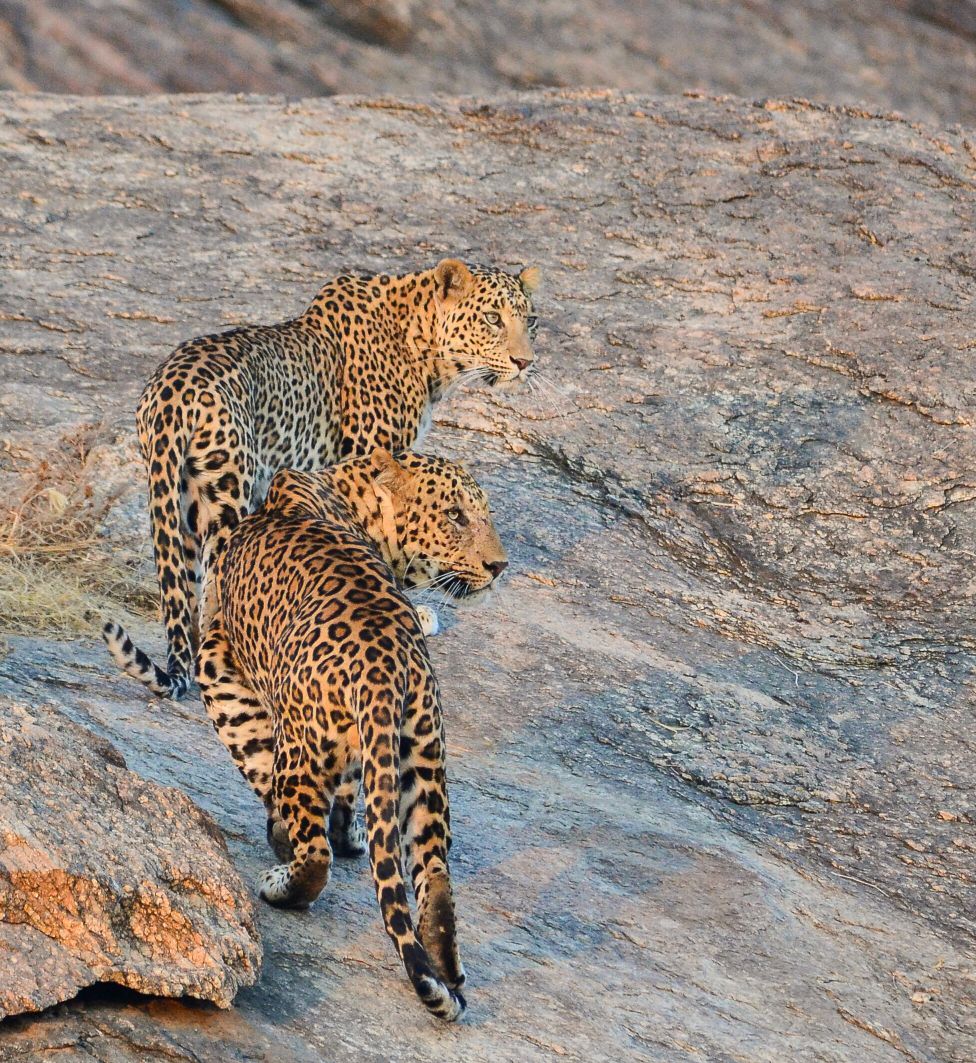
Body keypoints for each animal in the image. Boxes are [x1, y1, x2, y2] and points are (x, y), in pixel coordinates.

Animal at [103, 258, 539, 700]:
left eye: (531, 321)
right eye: (492, 318)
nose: (525, 363)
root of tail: (172, 392)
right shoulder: (371, 451)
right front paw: (414, 611)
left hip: (182, 495)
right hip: (228, 487)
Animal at [196, 448, 508, 1021]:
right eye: (456, 516)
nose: (500, 567)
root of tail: (383, 663)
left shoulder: (218, 663)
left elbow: (258, 759)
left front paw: (285, 836)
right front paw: (346, 834)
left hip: (305, 741)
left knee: (315, 853)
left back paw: (283, 884)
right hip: (422, 752)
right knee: (434, 868)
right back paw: (447, 970)